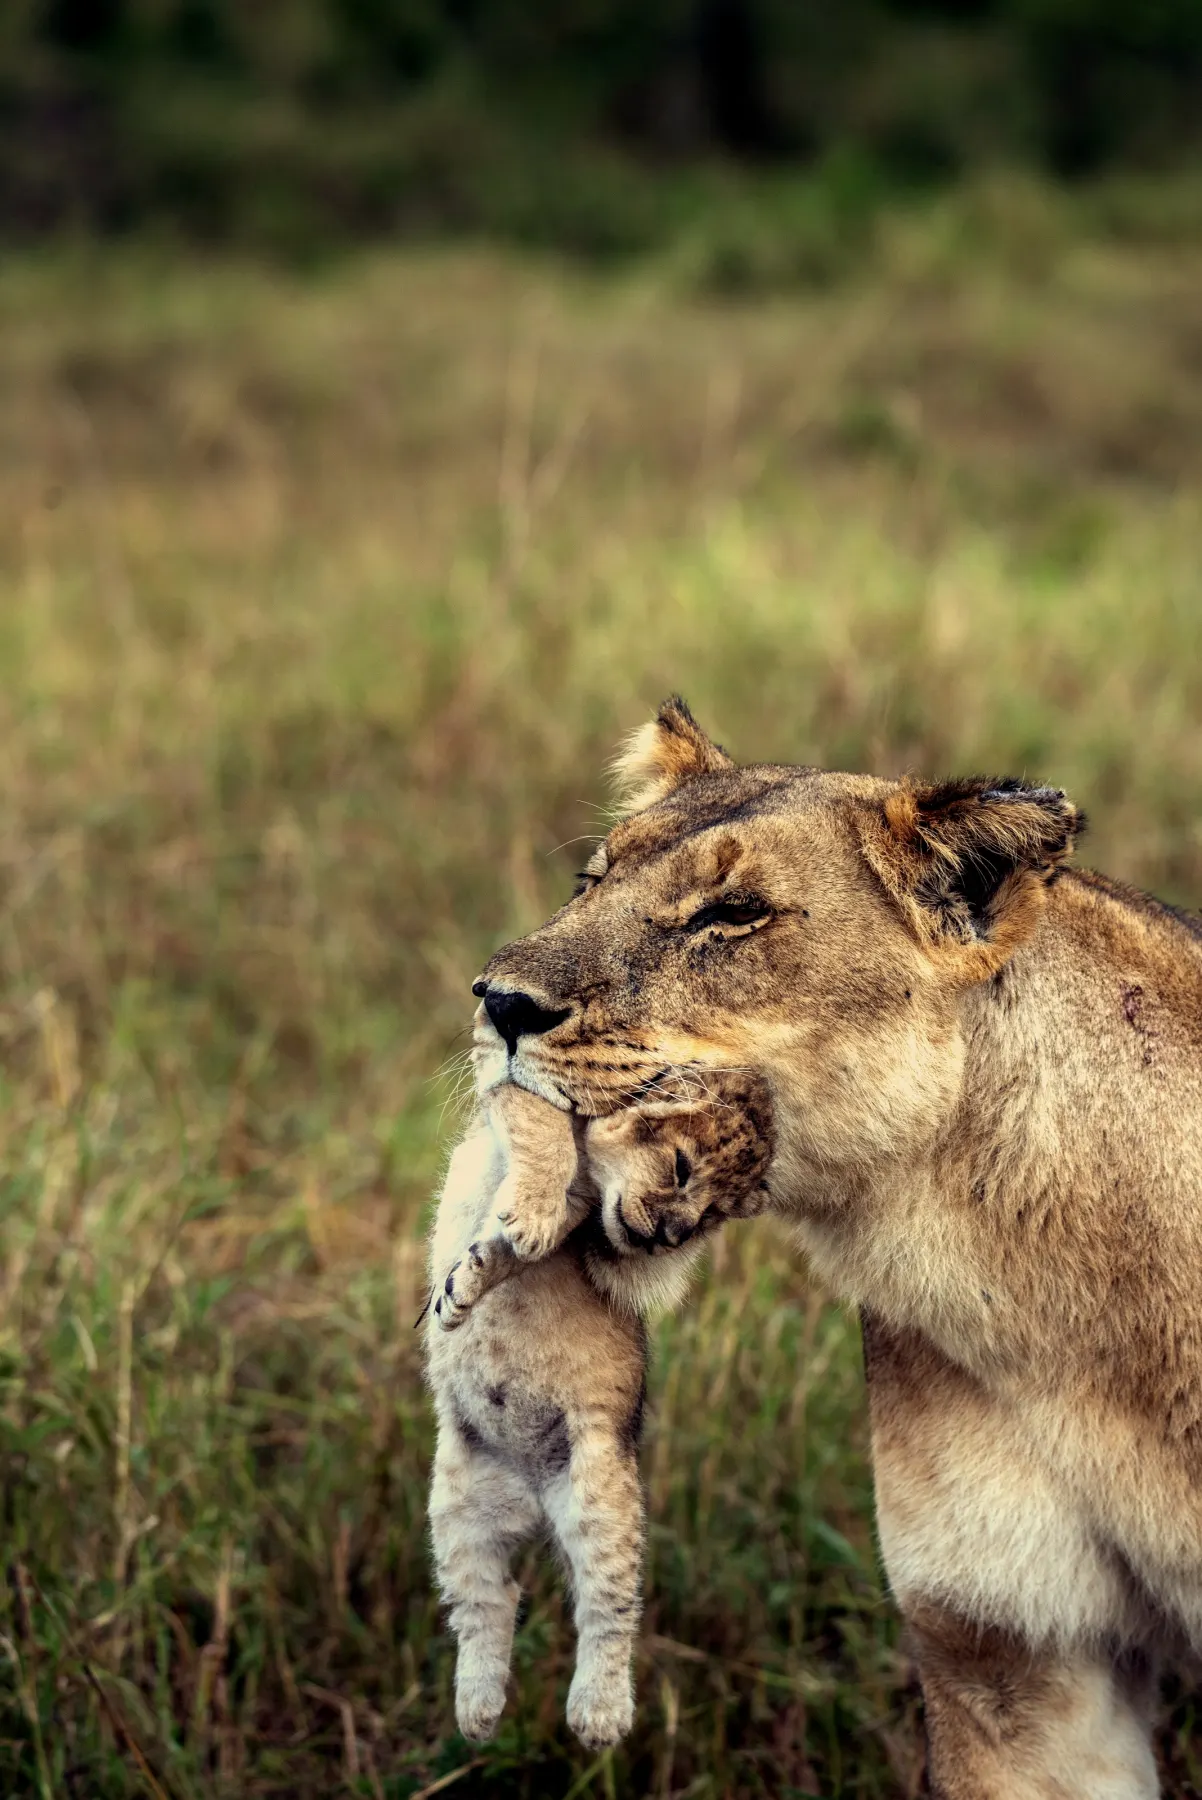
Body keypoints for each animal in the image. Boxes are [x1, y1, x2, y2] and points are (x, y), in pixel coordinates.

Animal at [425, 1055, 773, 1747]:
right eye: (682, 1168)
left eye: (712, 1216)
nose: (669, 1237)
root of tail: (531, 1500)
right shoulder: (506, 1097)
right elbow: (540, 1127)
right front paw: (466, 1283)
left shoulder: (588, 1219)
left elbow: (528, 1239)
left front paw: (498, 1256)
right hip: (455, 1508)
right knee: (488, 1602)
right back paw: (478, 1711)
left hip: (600, 1491)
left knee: (607, 1606)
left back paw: (599, 1717)